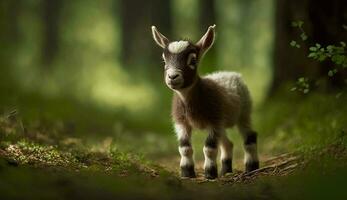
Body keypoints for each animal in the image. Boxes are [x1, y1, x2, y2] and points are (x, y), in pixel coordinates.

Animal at [151, 25, 260, 180]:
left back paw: (251, 167)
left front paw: (210, 174)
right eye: (164, 61)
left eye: (193, 61)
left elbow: (209, 149)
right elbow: (184, 148)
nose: (172, 77)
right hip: (223, 123)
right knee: (227, 143)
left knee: (249, 137)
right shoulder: (181, 122)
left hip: (244, 112)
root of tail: (232, 74)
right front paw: (187, 173)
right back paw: (226, 171)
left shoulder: (214, 122)